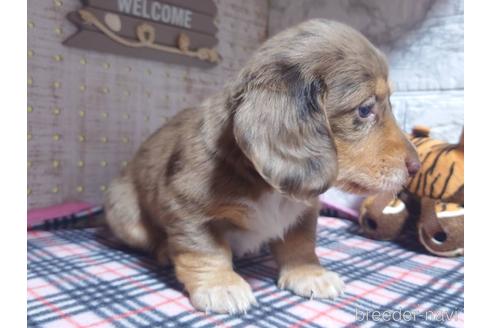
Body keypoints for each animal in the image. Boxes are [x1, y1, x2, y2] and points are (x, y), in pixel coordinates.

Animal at [104, 19, 418, 314]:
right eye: (365, 110)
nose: (416, 166)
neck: (267, 185)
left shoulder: (303, 211)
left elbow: (300, 243)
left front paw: (309, 274)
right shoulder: (188, 208)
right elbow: (206, 250)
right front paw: (220, 285)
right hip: (126, 216)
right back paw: (165, 251)